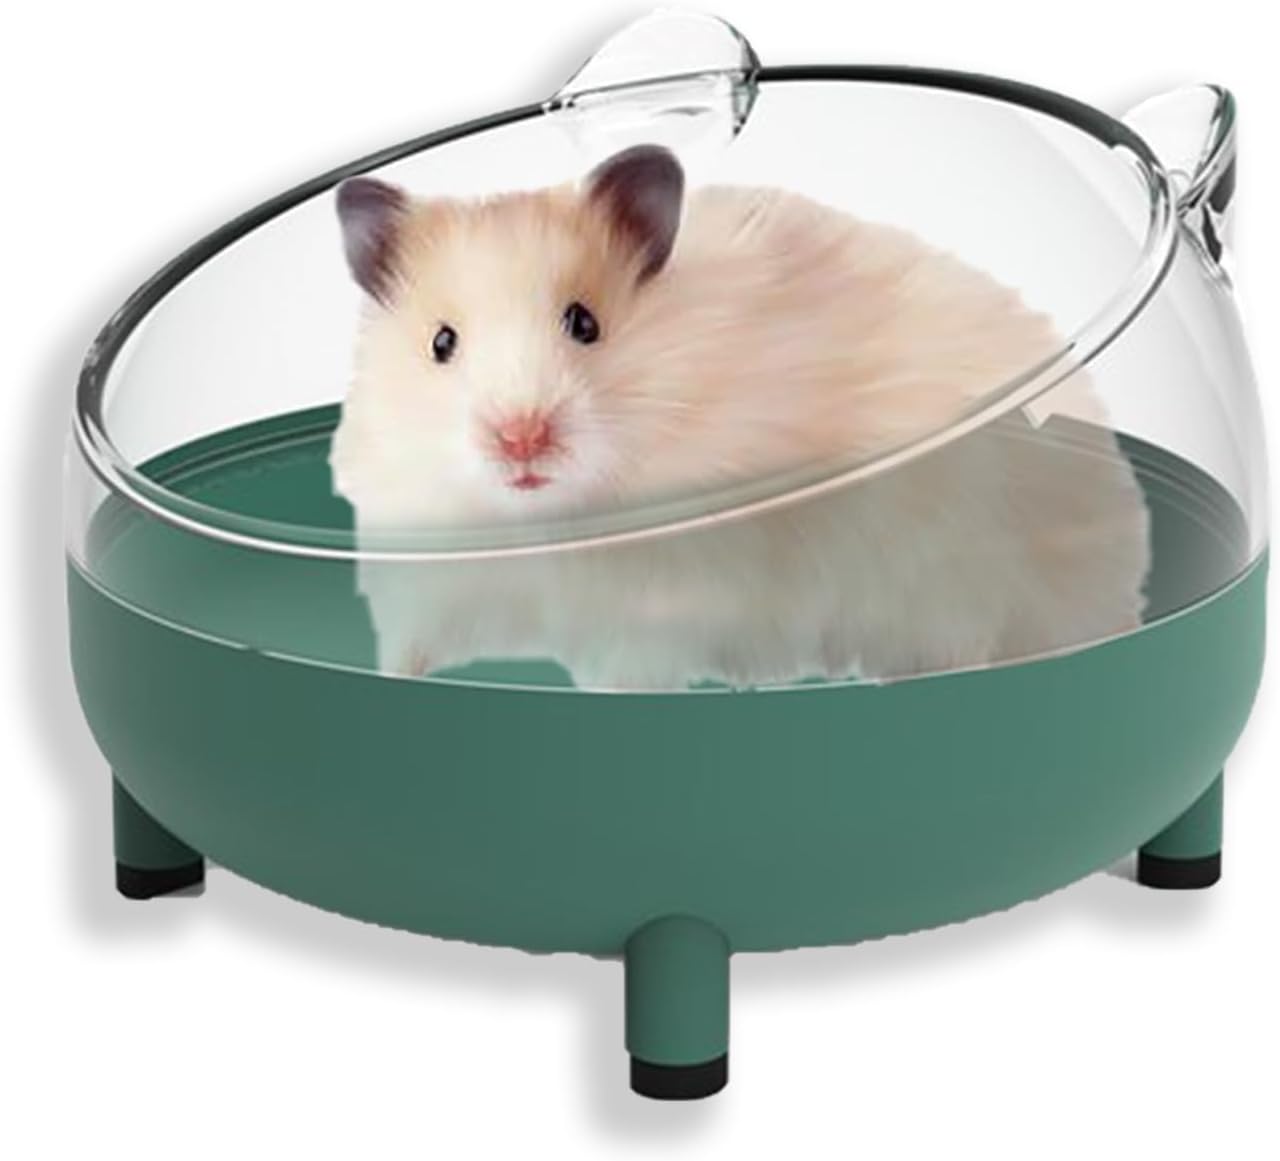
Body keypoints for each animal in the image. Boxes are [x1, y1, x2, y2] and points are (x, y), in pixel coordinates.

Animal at [330, 145, 1151, 688]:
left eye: (585, 323)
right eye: (441, 343)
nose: (520, 439)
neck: (538, 526)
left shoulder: (652, 614)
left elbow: (628, 674)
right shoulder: (422, 586)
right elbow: (408, 652)